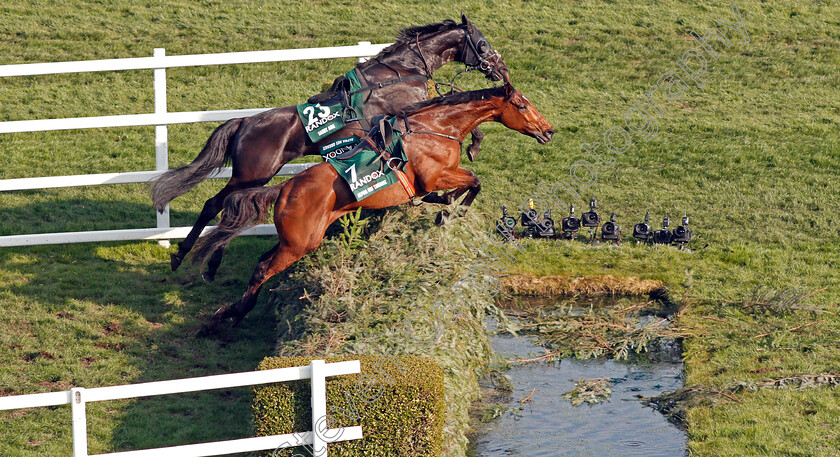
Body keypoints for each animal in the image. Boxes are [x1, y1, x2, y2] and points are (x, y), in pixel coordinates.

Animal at [150, 13, 506, 270]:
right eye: (482, 43)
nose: (501, 68)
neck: (401, 71)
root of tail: (244, 122)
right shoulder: (404, 113)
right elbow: (457, 104)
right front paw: (473, 147)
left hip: (250, 176)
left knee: (222, 207)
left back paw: (200, 259)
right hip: (253, 174)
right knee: (216, 205)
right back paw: (186, 256)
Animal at [194, 82, 556, 334]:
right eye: (522, 105)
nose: (548, 130)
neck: (437, 127)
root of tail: (284, 187)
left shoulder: (433, 180)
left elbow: (455, 190)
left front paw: (446, 206)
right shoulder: (436, 174)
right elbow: (473, 182)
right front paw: (450, 212)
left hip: (295, 239)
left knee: (261, 262)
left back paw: (231, 311)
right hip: (300, 244)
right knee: (262, 269)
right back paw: (226, 316)